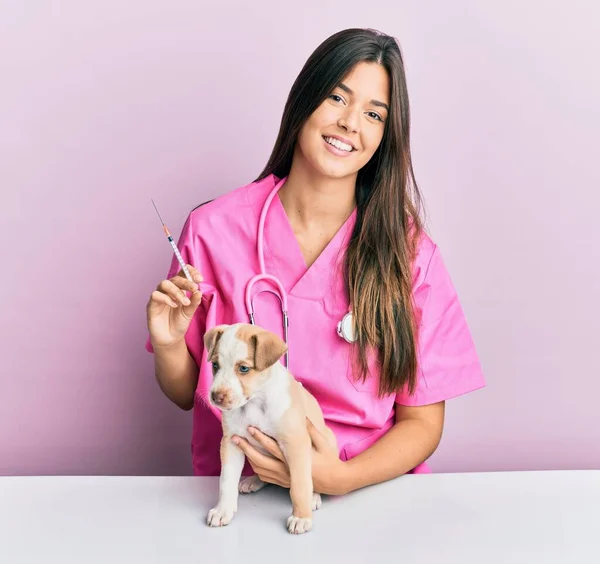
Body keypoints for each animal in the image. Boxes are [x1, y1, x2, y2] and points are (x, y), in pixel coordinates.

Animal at [204, 322, 338, 532]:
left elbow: (300, 484)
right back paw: (253, 481)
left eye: (244, 368)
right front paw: (222, 510)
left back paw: (314, 497)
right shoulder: (231, 442)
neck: (254, 403)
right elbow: (226, 480)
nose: (216, 397)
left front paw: (301, 516)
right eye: (215, 365)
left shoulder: (295, 443)